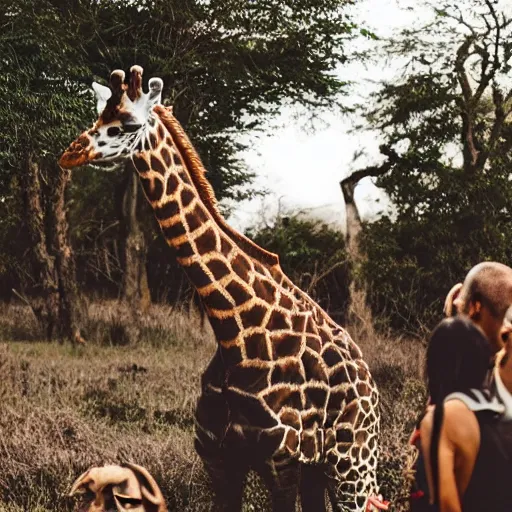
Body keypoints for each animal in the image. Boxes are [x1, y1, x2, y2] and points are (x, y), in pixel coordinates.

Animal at [59, 66, 384, 510]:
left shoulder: (280, 461)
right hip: (322, 468)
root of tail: (370, 384)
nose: (70, 153)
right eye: (97, 119)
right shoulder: (219, 458)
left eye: (125, 124)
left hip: (352, 463)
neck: (234, 332)